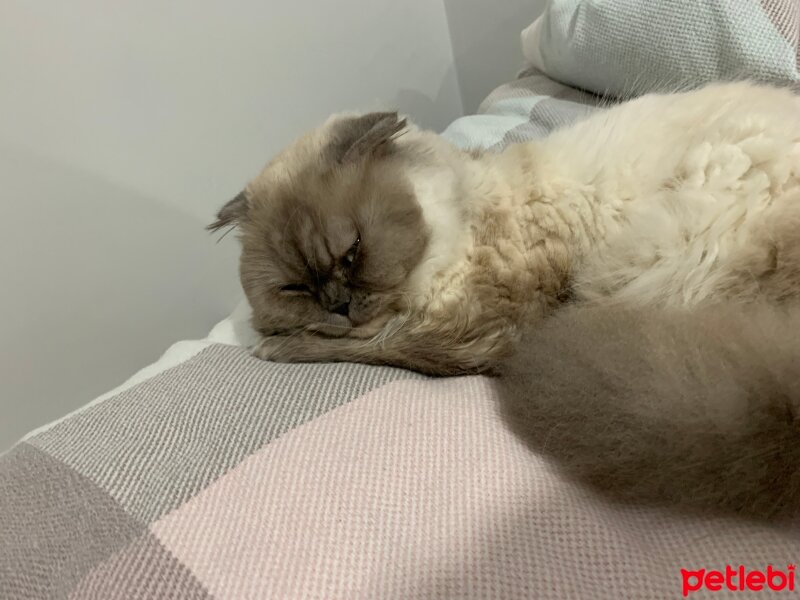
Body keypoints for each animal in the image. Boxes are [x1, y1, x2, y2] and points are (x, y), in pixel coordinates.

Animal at [209, 81, 800, 376]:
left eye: (353, 251)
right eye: (295, 287)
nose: (337, 304)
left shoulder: (472, 329)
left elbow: (376, 344)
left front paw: (269, 347)